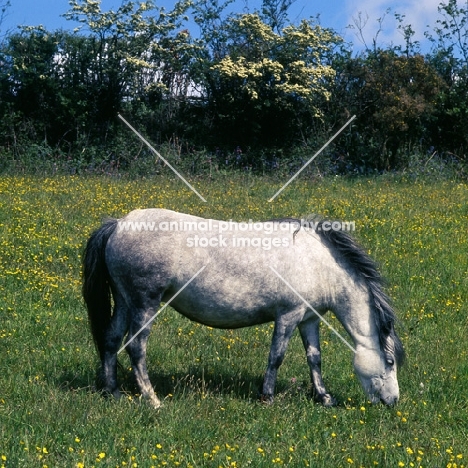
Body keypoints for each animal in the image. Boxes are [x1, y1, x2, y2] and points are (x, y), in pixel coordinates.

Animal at [82, 210, 404, 408]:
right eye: (390, 362)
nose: (394, 401)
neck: (319, 263)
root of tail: (119, 223)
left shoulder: (308, 319)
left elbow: (315, 358)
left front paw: (324, 397)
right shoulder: (288, 316)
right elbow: (276, 357)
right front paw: (268, 397)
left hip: (125, 302)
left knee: (110, 340)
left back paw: (113, 392)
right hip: (144, 304)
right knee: (136, 347)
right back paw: (153, 400)